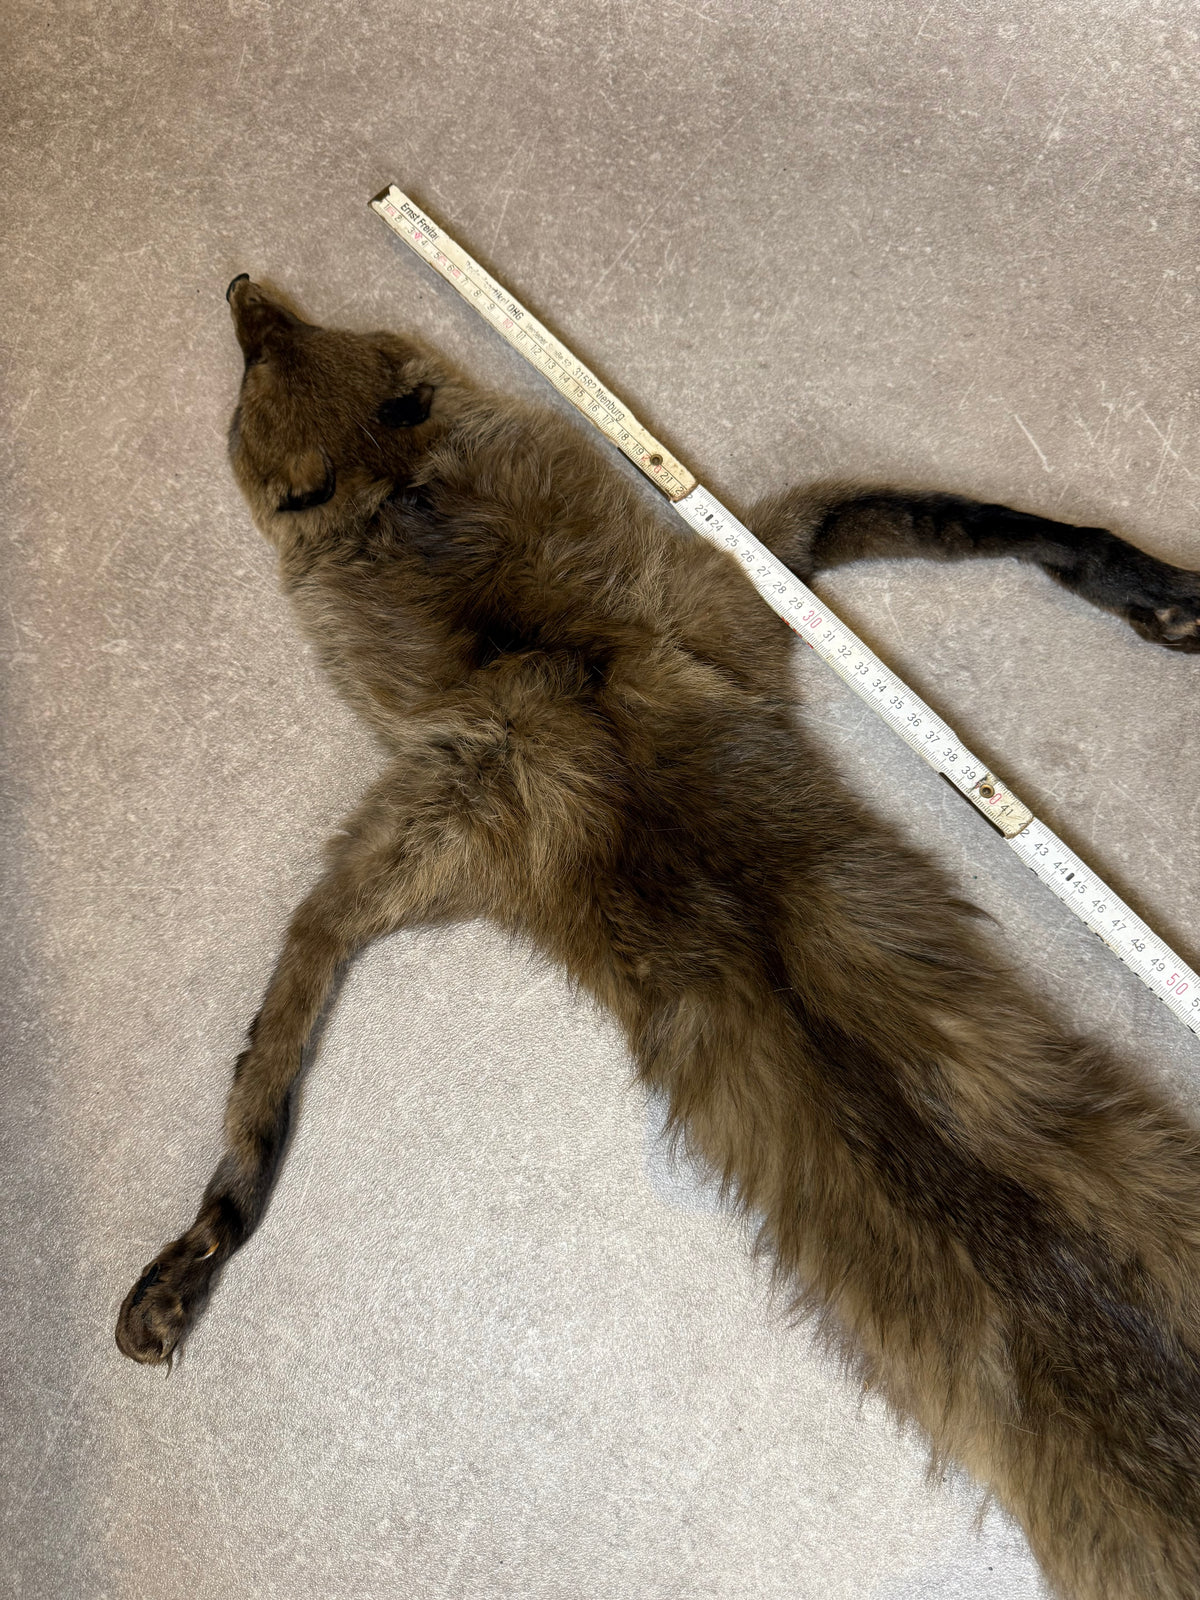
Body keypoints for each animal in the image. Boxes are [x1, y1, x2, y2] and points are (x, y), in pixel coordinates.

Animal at [117, 272, 1200, 1599]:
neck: (537, 649)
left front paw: (1148, 585)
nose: (240, 288)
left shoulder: (681, 619)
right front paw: (198, 1250)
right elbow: (272, 1057)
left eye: (256, 368)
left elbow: (981, 515)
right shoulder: (504, 774)